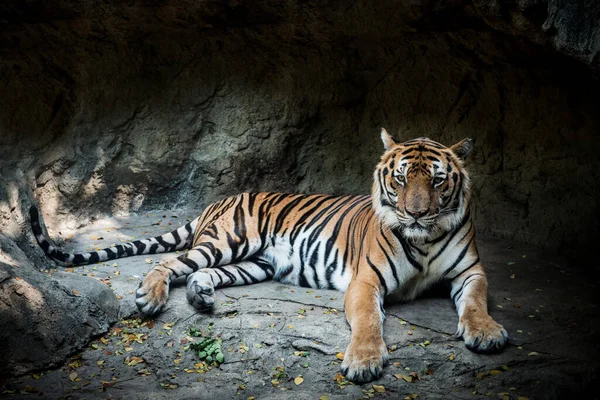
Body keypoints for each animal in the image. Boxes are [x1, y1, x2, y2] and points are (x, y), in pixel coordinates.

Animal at [30, 129, 508, 384]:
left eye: (438, 181)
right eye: (402, 178)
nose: (416, 213)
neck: (423, 240)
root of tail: (220, 200)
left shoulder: (471, 271)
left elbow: (476, 303)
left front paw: (486, 334)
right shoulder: (366, 280)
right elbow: (370, 320)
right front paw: (364, 361)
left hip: (255, 262)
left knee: (206, 274)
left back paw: (201, 296)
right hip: (228, 239)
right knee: (172, 262)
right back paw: (150, 295)